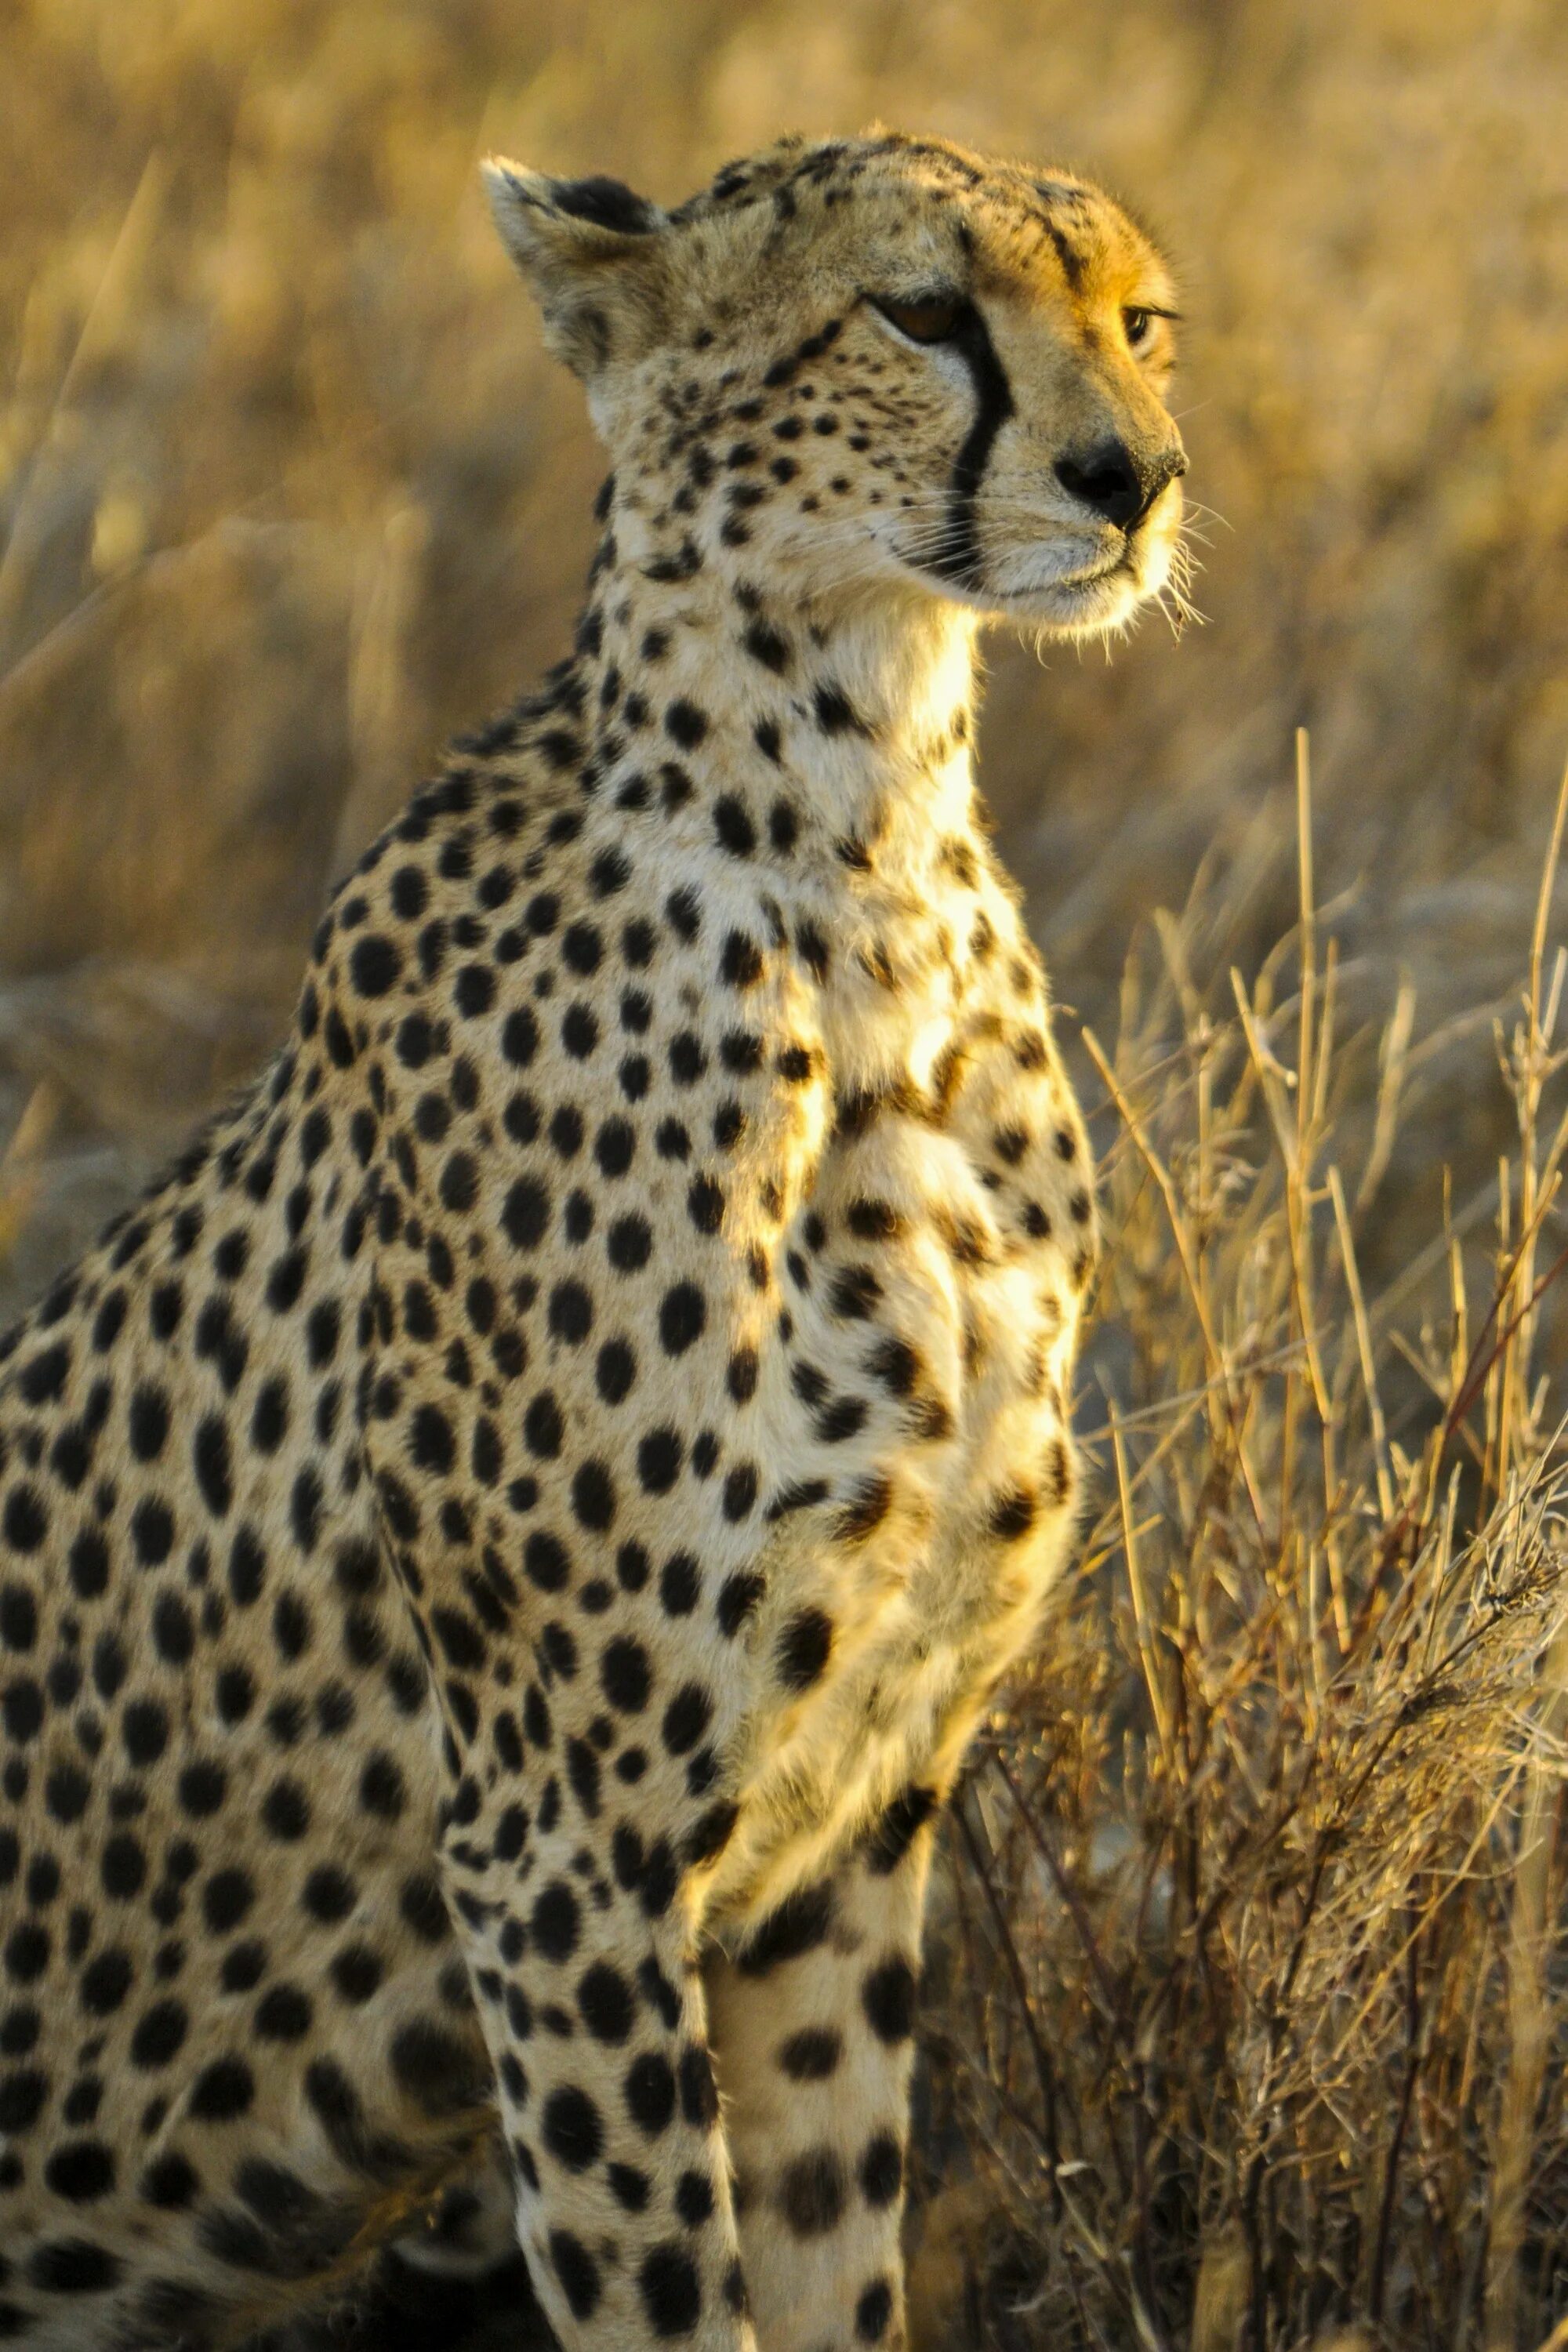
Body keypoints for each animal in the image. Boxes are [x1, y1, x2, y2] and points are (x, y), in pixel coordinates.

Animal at [0, 133, 1185, 2352]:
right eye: (921, 313)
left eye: (1139, 321)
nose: (1134, 480)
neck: (863, 853)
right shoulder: (562, 1850)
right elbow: (670, 2292)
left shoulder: (851, 1837)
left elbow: (827, 2258)